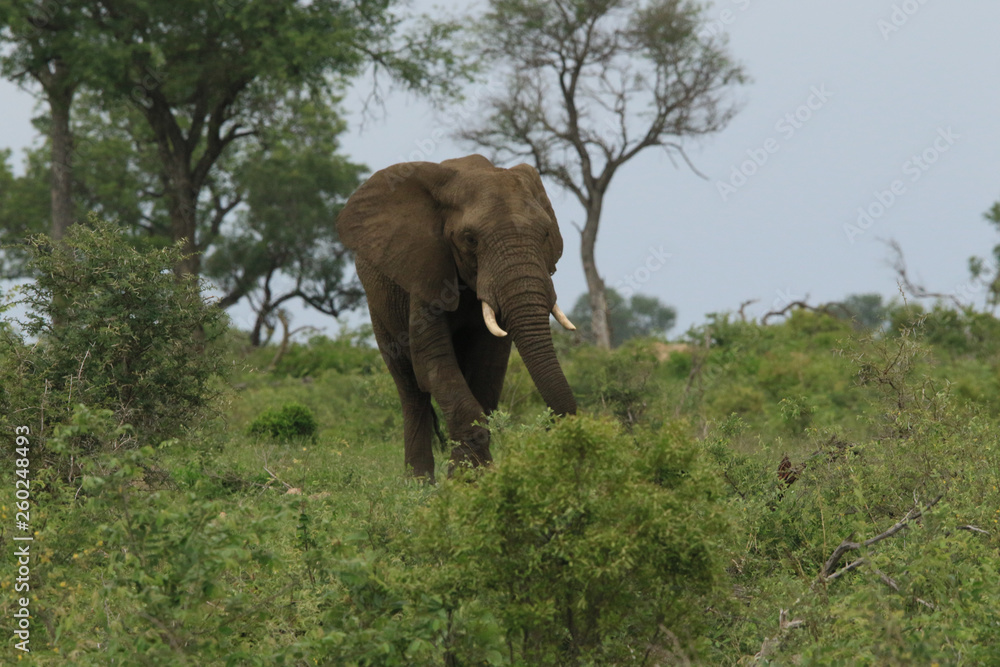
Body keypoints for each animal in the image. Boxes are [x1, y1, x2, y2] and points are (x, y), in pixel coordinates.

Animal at [337, 154, 578, 481]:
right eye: (470, 239)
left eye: (545, 234)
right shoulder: (425, 269)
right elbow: (433, 360)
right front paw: (466, 480)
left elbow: (488, 367)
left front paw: (476, 476)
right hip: (379, 304)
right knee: (409, 387)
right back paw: (418, 482)